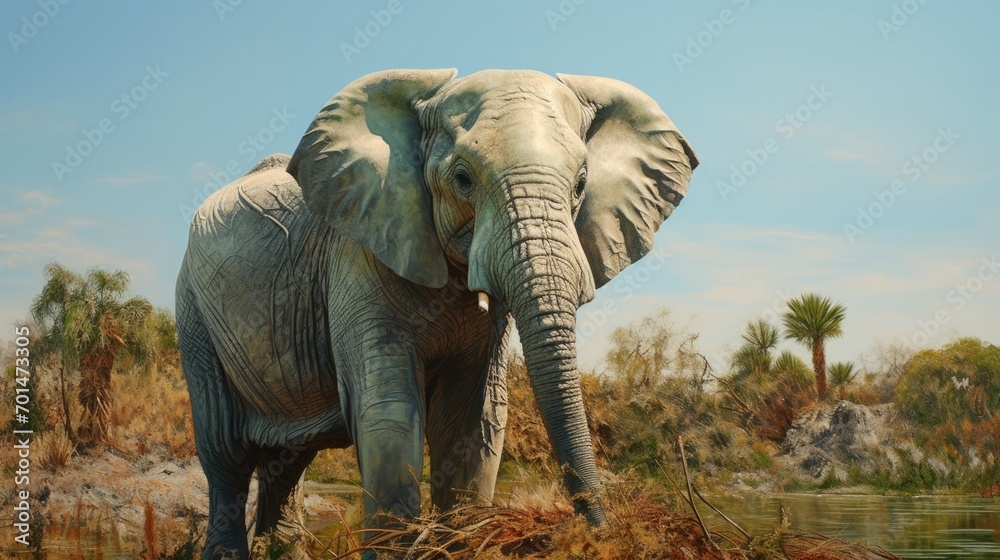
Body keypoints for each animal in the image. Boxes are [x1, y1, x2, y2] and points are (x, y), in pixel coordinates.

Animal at [175, 68, 697, 558]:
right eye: (462, 179)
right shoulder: (358, 251)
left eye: (582, 184)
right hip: (194, 312)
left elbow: (472, 418)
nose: (599, 534)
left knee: (288, 459)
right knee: (226, 453)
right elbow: (388, 414)